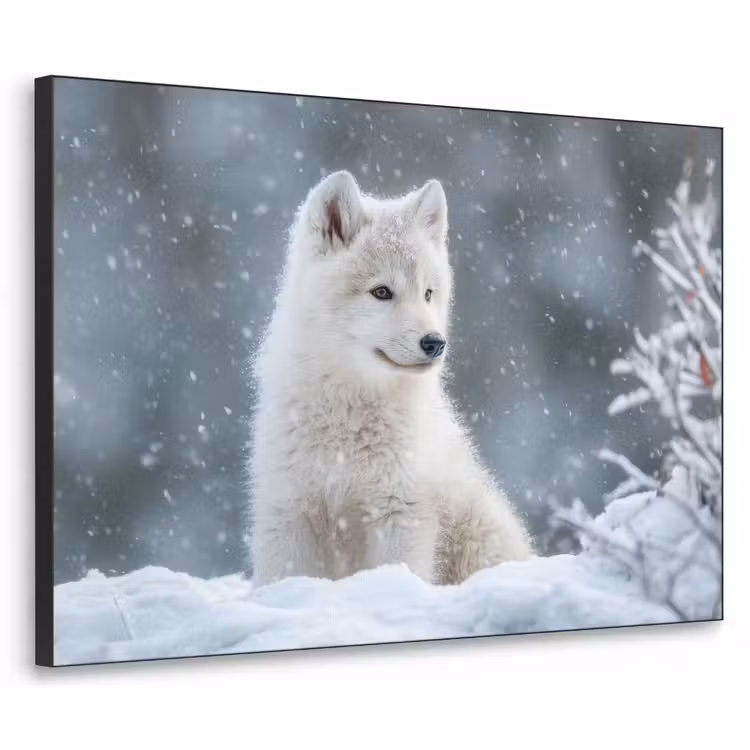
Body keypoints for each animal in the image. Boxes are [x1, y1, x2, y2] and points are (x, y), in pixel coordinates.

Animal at [247, 170, 533, 587]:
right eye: (381, 291)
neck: (348, 416)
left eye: (428, 293)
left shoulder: (400, 512)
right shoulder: (289, 511)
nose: (435, 343)